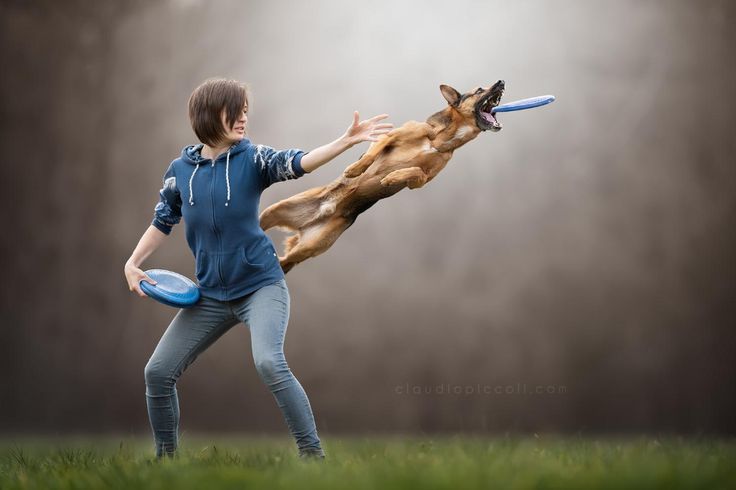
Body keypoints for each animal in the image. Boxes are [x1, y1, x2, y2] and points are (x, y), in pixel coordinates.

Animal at [258, 80, 506, 272]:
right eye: (479, 89)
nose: (502, 82)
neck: (439, 139)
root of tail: (323, 210)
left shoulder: (423, 180)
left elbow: (415, 172)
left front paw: (391, 178)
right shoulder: (390, 137)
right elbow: (372, 153)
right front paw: (355, 170)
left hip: (310, 246)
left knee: (284, 261)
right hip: (272, 212)